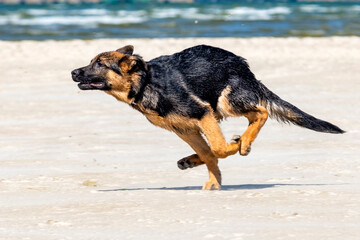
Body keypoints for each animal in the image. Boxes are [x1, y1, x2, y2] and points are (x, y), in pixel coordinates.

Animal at [71, 45, 344, 190]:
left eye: (100, 64)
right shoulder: (185, 128)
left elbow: (219, 148)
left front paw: (235, 145)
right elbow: (209, 152)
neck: (146, 82)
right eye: (91, 61)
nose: (73, 72)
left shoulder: (202, 114)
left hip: (226, 101)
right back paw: (195, 158)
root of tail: (244, 66)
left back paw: (244, 142)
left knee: (261, 112)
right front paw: (213, 179)